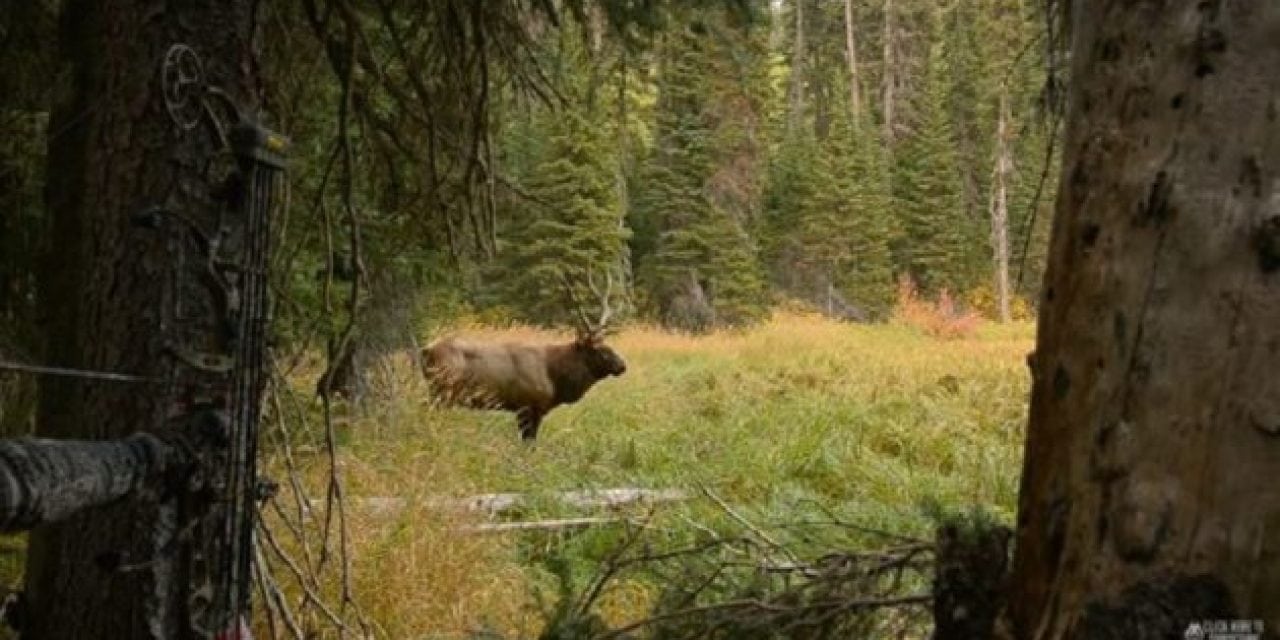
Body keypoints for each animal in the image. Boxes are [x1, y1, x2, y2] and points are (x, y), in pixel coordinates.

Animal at [422, 270, 627, 440]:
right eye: (600, 350)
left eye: (608, 345)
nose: (622, 365)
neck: (555, 378)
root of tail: (426, 351)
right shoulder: (527, 406)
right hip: (443, 392)